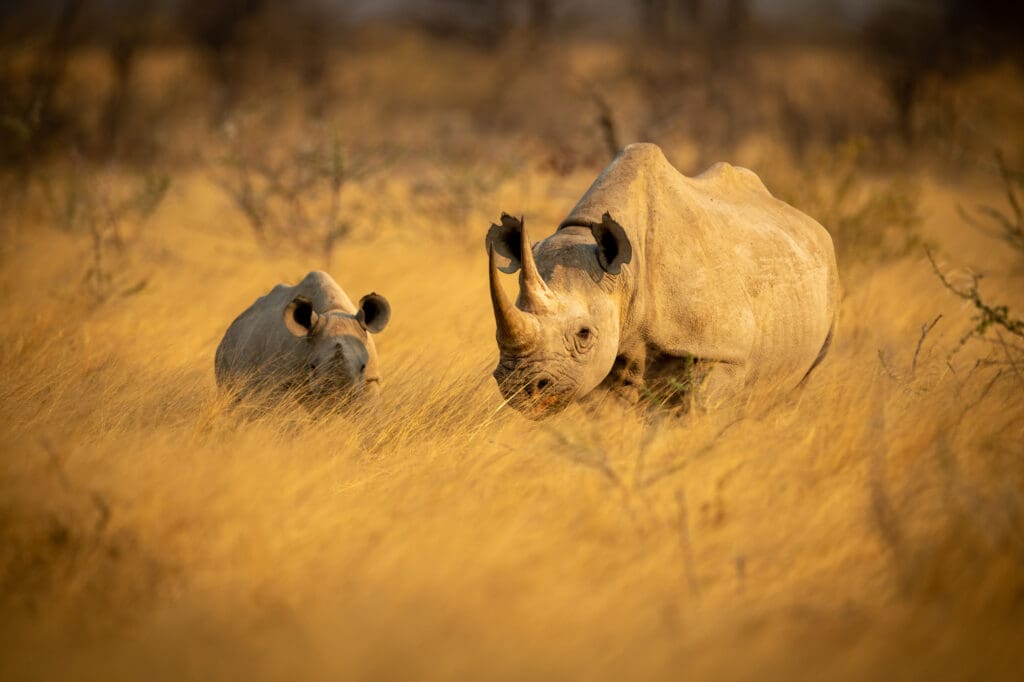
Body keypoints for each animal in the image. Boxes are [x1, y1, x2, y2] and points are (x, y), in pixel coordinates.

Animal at [215, 270, 390, 404]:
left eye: (363, 367)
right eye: (312, 366)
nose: (337, 399)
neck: (333, 310)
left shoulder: (370, 380)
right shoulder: (279, 381)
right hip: (225, 354)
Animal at [486, 143, 840, 418]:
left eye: (584, 334)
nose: (519, 388)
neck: (626, 273)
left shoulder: (724, 353)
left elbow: (693, 416)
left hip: (828, 278)